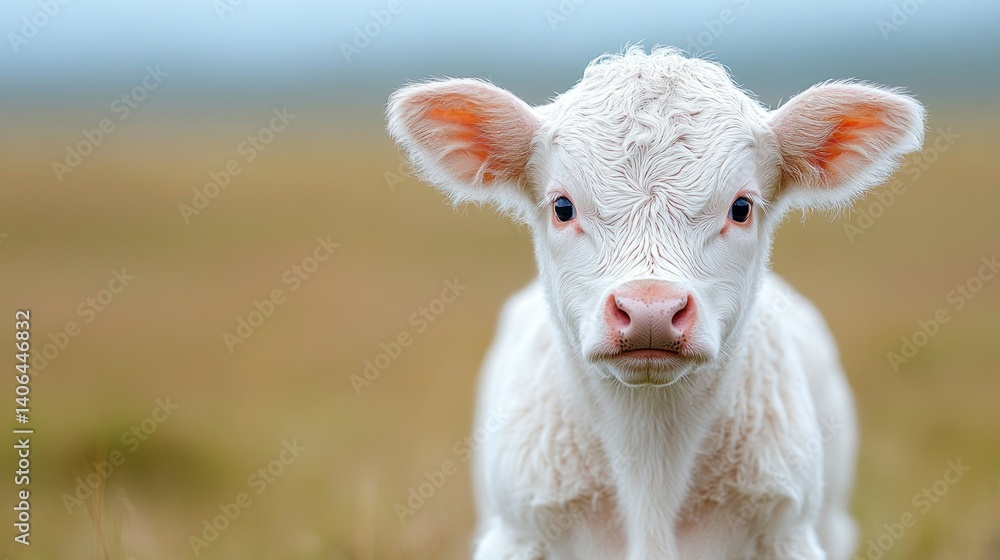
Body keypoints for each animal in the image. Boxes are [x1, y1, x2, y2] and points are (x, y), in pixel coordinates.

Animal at [386, 47, 925, 560]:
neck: (650, 467)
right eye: (562, 207)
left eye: (741, 207)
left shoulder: (787, 533)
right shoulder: (517, 533)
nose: (650, 310)